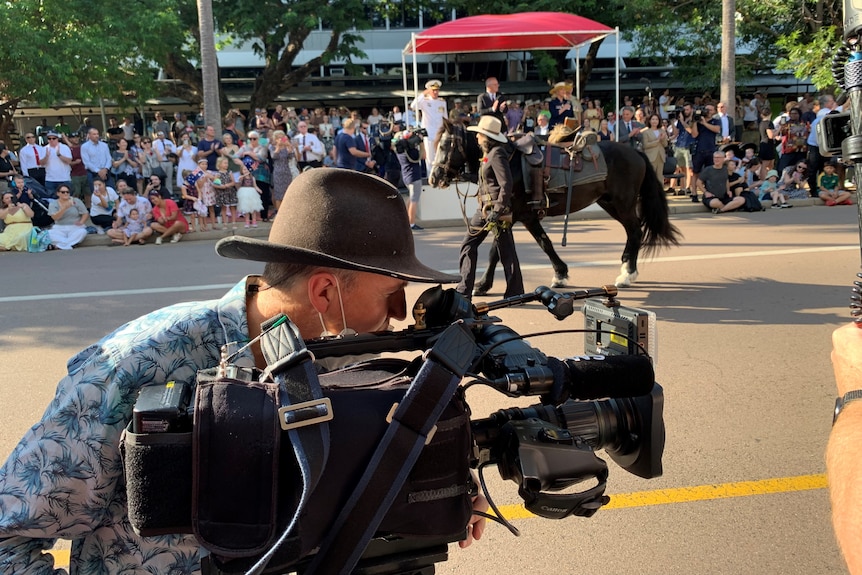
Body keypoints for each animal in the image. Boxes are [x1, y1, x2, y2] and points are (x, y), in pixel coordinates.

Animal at [430, 121, 680, 292]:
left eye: (445, 144)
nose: (433, 177)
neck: (511, 162)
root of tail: (635, 152)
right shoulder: (520, 217)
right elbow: (538, 244)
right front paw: (560, 274)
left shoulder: (516, 215)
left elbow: (502, 250)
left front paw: (482, 284)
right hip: (610, 203)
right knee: (632, 231)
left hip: (623, 204)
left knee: (635, 231)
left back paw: (627, 274)